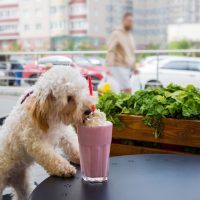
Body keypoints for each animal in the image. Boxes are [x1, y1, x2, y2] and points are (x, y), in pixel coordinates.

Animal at [0, 66, 93, 200]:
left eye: (82, 90)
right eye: (69, 98)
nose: (88, 111)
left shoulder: (63, 132)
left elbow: (72, 144)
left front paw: (80, 157)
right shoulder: (35, 141)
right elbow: (50, 157)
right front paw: (64, 168)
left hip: (23, 186)